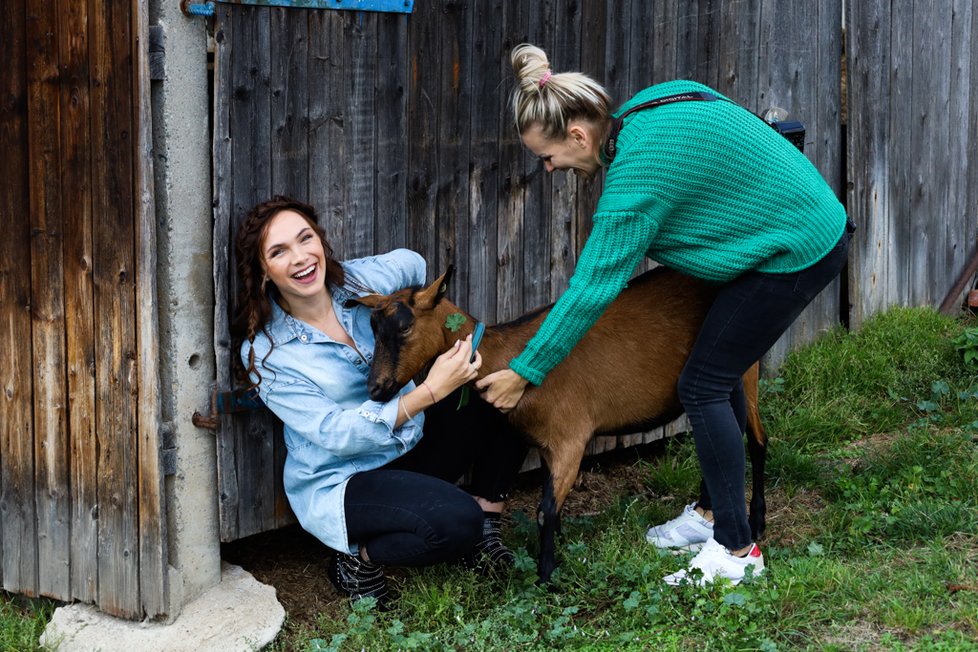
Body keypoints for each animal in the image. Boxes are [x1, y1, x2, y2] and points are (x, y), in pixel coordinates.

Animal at [354, 268, 768, 584]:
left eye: (404, 327)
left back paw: (756, 522)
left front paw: (546, 577)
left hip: (742, 369)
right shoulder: (545, 444)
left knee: (757, 441)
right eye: (373, 328)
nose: (376, 389)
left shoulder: (570, 438)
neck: (510, 355)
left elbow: (546, 511)